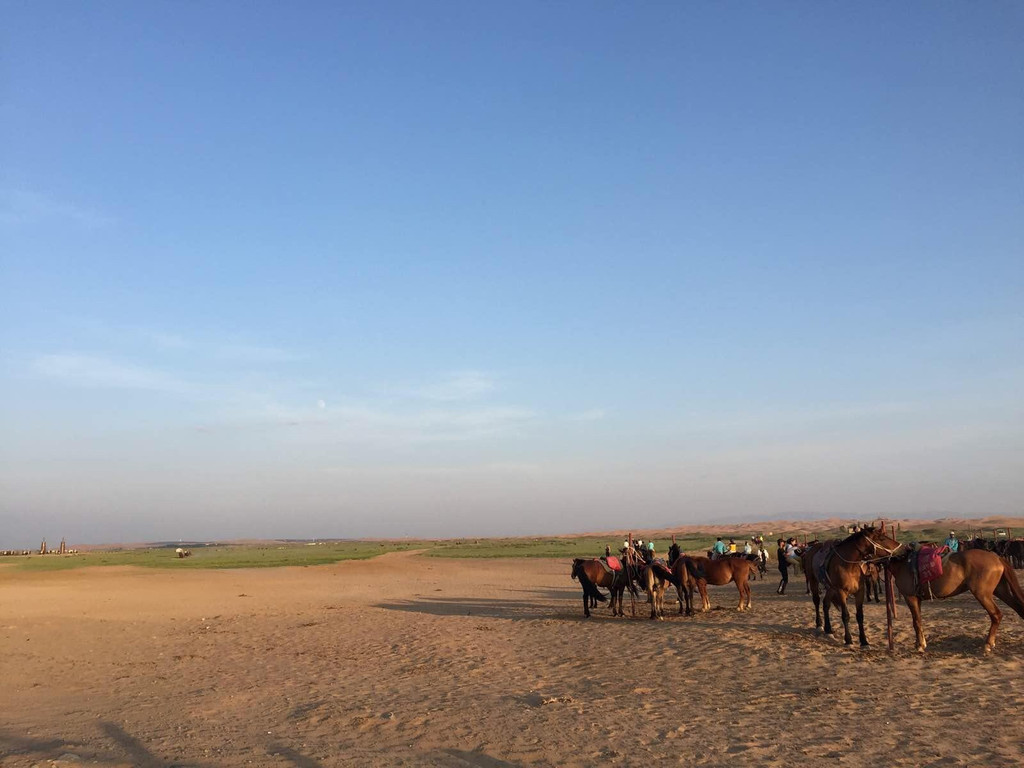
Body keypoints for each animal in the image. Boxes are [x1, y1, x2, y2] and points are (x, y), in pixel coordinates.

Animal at [884, 548, 1024, 655]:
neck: (902, 563)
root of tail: (996, 557)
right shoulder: (917, 599)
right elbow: (918, 621)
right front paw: (921, 643)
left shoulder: (910, 597)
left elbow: (916, 622)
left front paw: (920, 646)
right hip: (1000, 590)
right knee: (1018, 609)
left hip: (982, 594)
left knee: (996, 615)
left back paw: (988, 644)